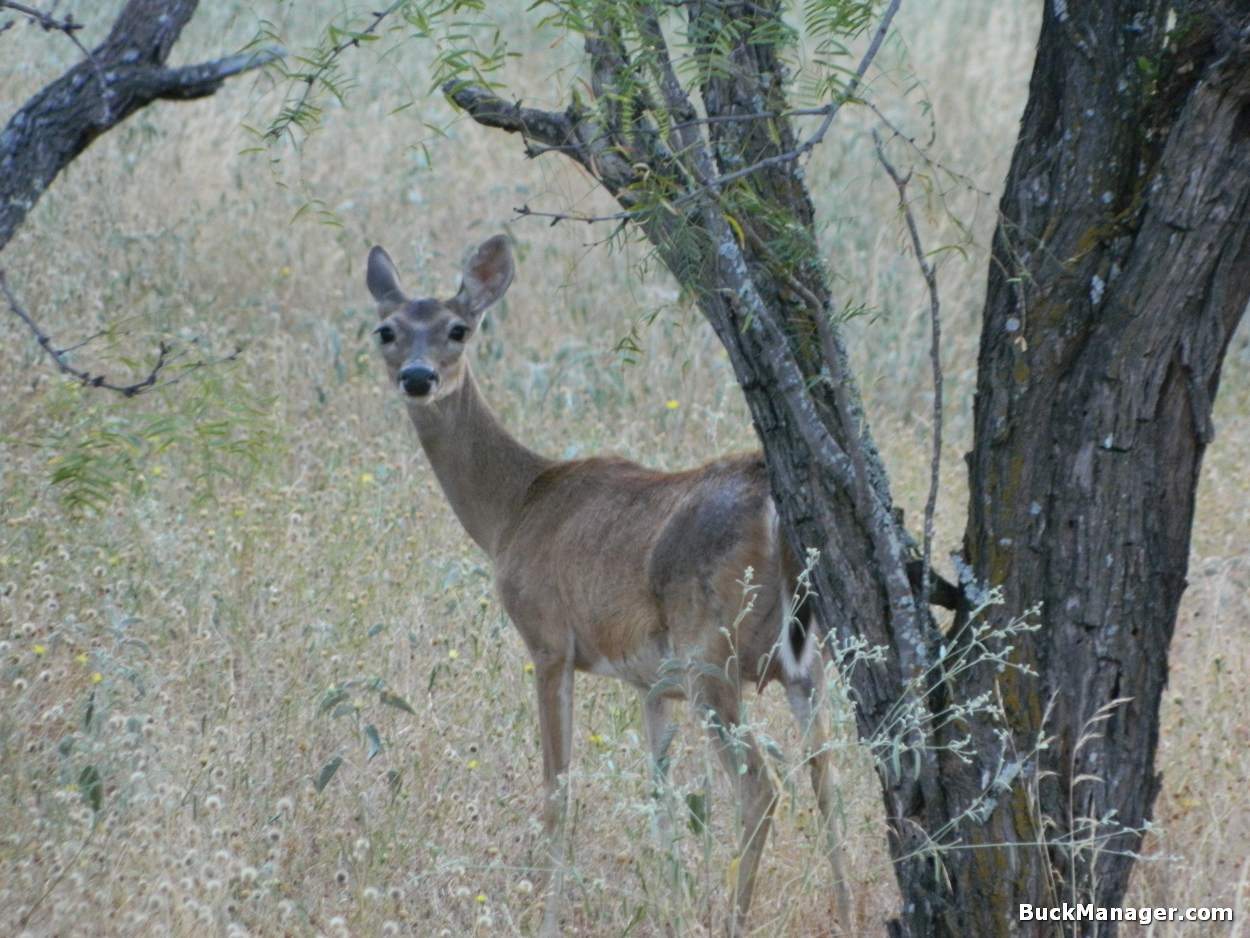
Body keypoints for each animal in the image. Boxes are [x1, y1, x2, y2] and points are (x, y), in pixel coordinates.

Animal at [362, 236, 850, 938]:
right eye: (387, 330)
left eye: (459, 328)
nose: (418, 376)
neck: (513, 510)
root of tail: (774, 506)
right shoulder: (653, 685)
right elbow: (661, 798)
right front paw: (669, 899)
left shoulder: (548, 640)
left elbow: (557, 790)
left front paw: (548, 914)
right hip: (805, 661)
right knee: (829, 779)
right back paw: (847, 910)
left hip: (712, 653)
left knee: (761, 787)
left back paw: (736, 917)